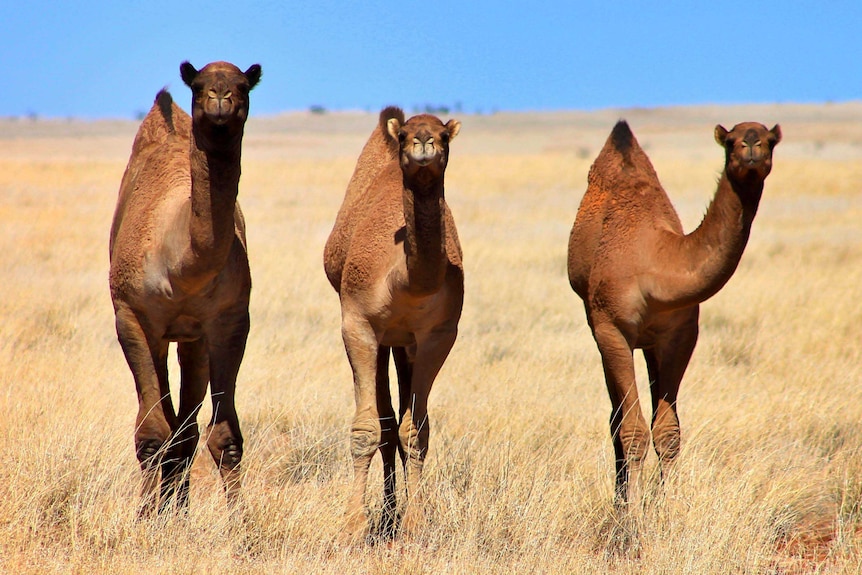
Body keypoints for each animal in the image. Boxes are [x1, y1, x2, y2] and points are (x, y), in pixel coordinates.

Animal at [109, 60, 262, 516]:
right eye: (198, 86)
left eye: (244, 86)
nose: (220, 99)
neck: (181, 265)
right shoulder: (132, 316)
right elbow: (151, 432)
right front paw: (145, 517)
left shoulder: (229, 322)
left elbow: (224, 434)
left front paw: (240, 522)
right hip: (158, 335)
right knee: (166, 420)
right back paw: (165, 507)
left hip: (193, 340)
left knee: (187, 427)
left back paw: (178, 506)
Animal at [324, 108, 462, 544]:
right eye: (404, 135)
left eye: (444, 135)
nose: (423, 143)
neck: (402, 279)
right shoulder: (358, 325)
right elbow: (367, 428)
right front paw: (354, 526)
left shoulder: (438, 335)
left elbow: (415, 431)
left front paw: (415, 523)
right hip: (383, 339)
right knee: (383, 419)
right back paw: (383, 515)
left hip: (405, 344)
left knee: (397, 421)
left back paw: (392, 514)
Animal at [568, 119, 784, 506]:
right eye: (730, 141)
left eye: (771, 140)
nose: (752, 147)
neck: (658, 263)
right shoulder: (611, 328)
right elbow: (632, 429)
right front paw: (632, 513)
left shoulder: (682, 333)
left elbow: (668, 431)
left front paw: (667, 505)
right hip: (598, 325)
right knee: (615, 416)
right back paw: (620, 497)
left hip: (650, 343)